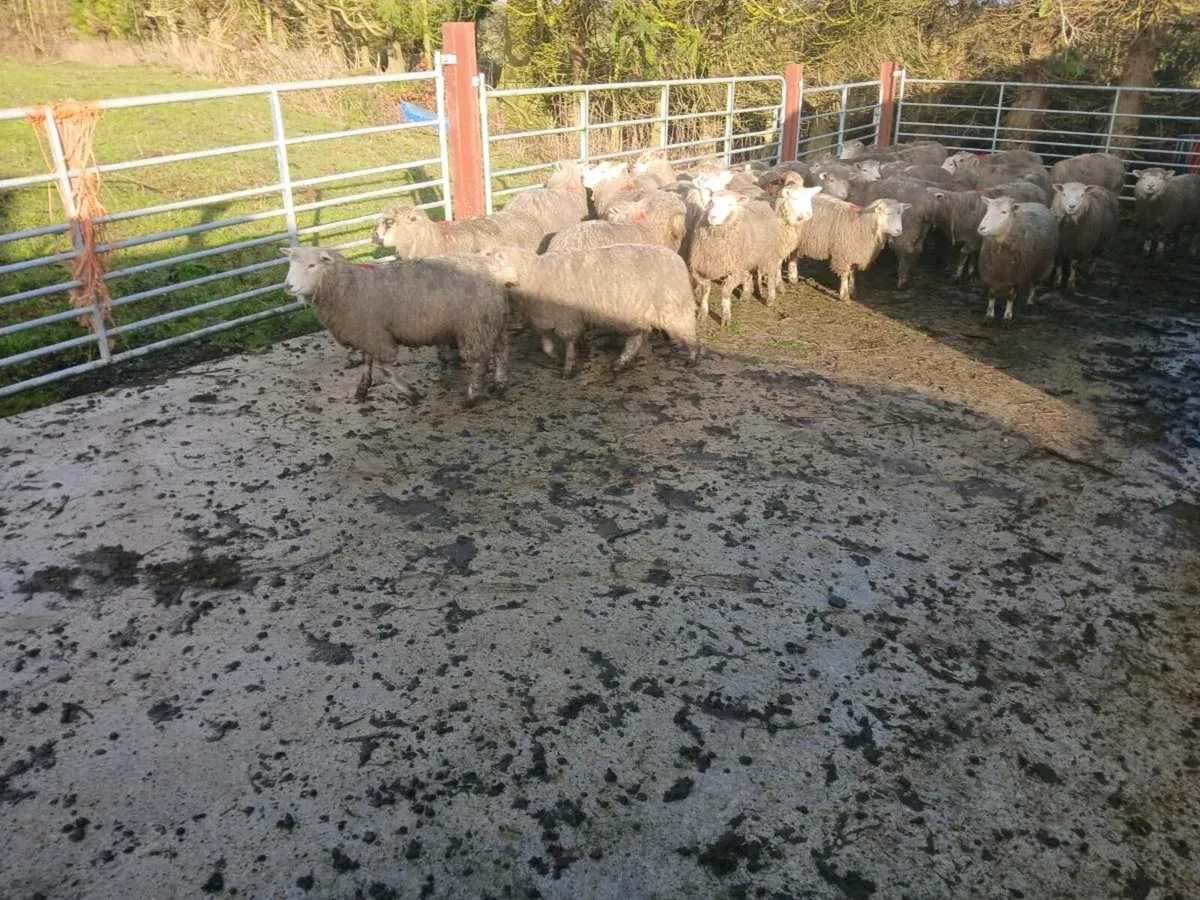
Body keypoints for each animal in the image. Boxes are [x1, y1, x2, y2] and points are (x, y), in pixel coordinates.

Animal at [280, 247, 509, 406]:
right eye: (291, 265)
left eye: (312, 265)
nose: (288, 286)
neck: (350, 286)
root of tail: (492, 265)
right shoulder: (368, 333)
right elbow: (367, 362)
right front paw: (362, 388)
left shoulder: (377, 336)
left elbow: (385, 370)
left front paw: (411, 393)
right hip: (491, 320)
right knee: (501, 350)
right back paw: (499, 384)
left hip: (474, 325)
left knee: (480, 362)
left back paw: (472, 396)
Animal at [482, 244, 699, 377]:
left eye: (496, 260)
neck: (535, 274)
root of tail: (676, 257)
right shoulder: (543, 319)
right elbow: (546, 347)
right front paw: (556, 358)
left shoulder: (567, 319)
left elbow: (569, 344)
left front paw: (568, 367)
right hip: (640, 311)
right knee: (636, 338)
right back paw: (621, 363)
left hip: (673, 306)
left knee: (688, 330)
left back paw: (692, 356)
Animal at [687, 190, 782, 326]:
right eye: (711, 201)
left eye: (729, 204)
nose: (712, 217)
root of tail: (761, 201)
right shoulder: (701, 269)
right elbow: (706, 290)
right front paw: (702, 314)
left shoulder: (734, 271)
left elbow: (726, 292)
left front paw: (726, 316)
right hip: (745, 259)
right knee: (747, 275)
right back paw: (746, 294)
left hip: (768, 253)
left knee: (771, 274)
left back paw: (770, 298)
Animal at [976, 196, 1059, 326]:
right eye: (987, 210)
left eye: (1004, 212)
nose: (982, 228)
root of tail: (1038, 204)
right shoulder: (991, 274)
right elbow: (992, 294)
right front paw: (989, 316)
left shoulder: (1017, 276)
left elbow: (1010, 296)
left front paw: (1007, 317)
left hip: (1043, 267)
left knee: (1034, 285)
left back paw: (1029, 302)